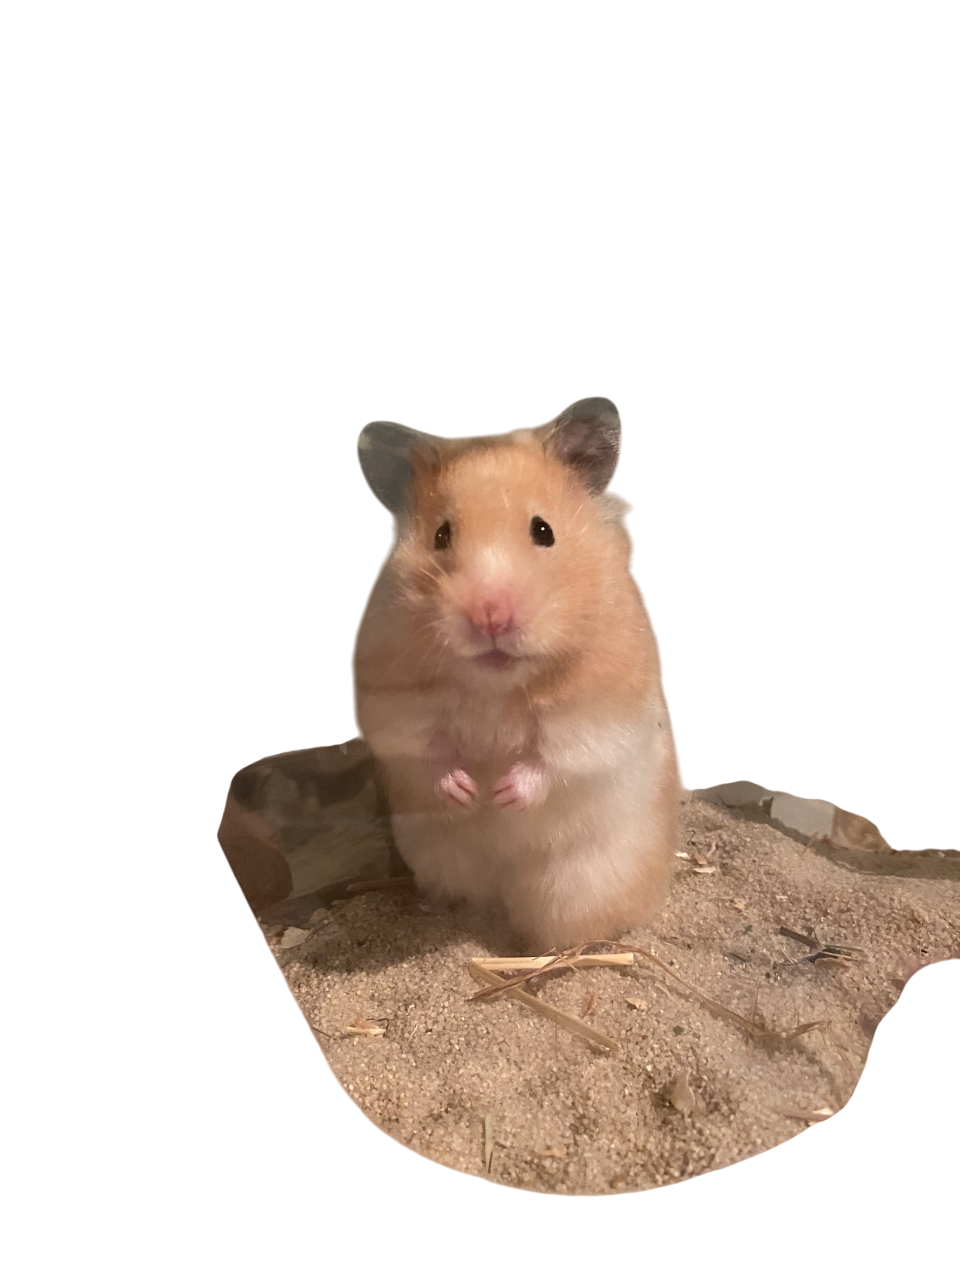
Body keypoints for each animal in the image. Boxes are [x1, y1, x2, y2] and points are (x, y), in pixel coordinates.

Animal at [351, 395, 683, 954]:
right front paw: (468, 792)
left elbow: (557, 757)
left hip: (579, 884)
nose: (490, 617)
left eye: (543, 531)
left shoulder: (601, 709)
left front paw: (502, 795)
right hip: (438, 857)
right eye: (441, 535)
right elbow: (425, 749)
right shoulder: (392, 704)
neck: (493, 685)